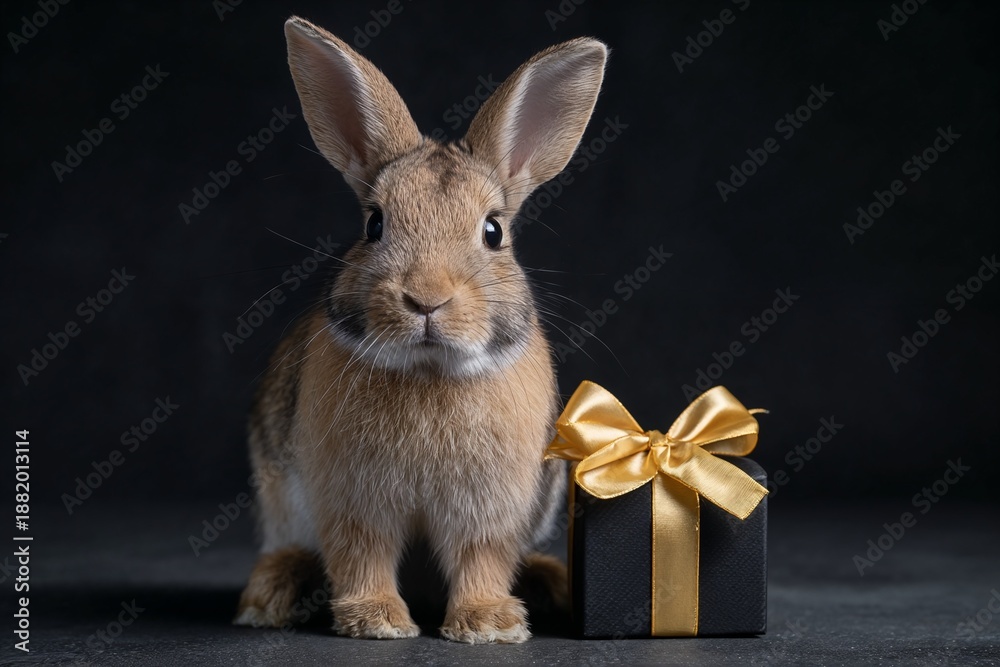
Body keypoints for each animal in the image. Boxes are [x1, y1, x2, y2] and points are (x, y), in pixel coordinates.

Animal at [233, 15, 607, 644]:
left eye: (493, 231)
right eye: (373, 224)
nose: (426, 298)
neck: (430, 368)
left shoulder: (489, 511)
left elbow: (481, 559)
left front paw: (488, 626)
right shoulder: (354, 502)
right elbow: (363, 554)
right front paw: (377, 622)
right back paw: (271, 595)